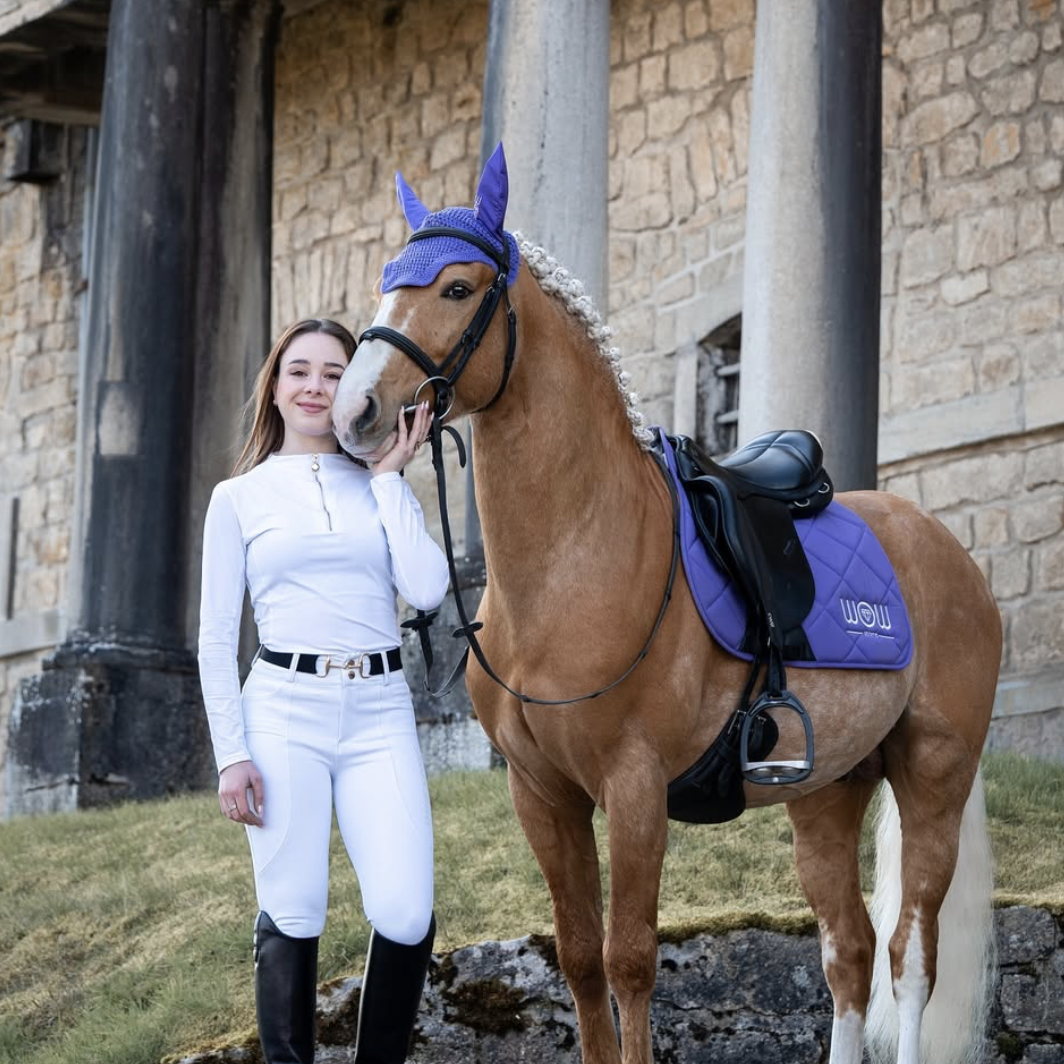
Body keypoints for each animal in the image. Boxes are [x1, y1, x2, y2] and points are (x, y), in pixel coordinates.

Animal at [332, 145, 1002, 1064]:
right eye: (385, 282)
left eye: (458, 288)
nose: (354, 411)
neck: (577, 557)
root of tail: (945, 549)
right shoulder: (543, 795)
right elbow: (580, 959)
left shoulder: (636, 786)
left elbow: (630, 961)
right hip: (828, 792)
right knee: (849, 951)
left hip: (933, 772)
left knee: (911, 955)